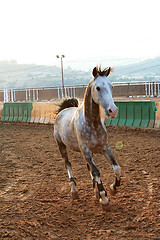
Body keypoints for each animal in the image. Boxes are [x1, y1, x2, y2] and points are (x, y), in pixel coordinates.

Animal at [54, 66, 120, 210]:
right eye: (98, 88)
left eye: (111, 86)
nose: (113, 110)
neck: (92, 123)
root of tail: (62, 111)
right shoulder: (86, 151)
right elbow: (97, 171)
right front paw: (104, 198)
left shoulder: (105, 148)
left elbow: (116, 168)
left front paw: (113, 188)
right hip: (61, 146)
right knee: (68, 165)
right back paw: (74, 191)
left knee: (88, 167)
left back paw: (95, 191)